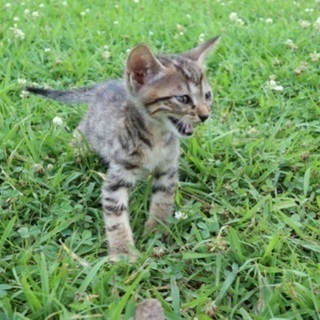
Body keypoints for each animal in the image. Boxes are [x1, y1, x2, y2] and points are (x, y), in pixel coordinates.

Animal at [26, 37, 220, 262]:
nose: (205, 115)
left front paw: (156, 232)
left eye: (208, 95)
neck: (156, 138)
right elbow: (116, 217)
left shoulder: (168, 170)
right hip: (88, 134)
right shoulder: (118, 176)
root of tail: (105, 86)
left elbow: (162, 202)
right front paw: (123, 252)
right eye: (183, 99)